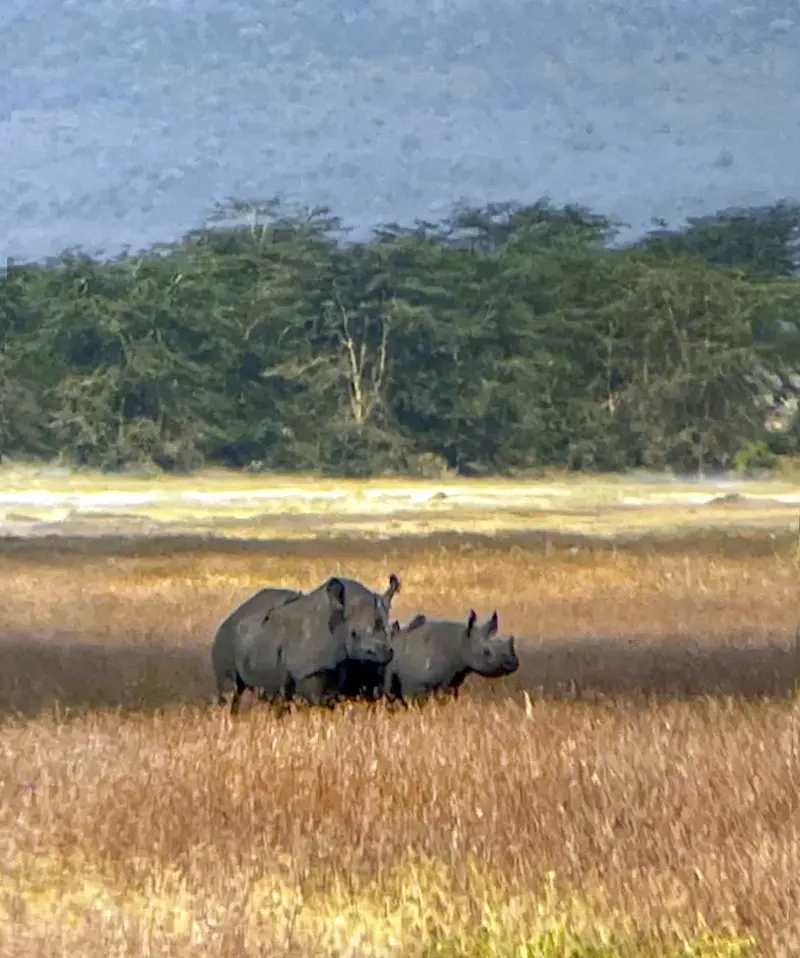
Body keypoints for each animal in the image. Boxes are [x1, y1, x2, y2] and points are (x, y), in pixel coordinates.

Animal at [231, 576, 396, 711]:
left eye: (389, 632)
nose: (384, 653)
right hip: (230, 634)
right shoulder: (310, 669)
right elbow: (315, 700)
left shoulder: (364, 664)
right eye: (353, 634)